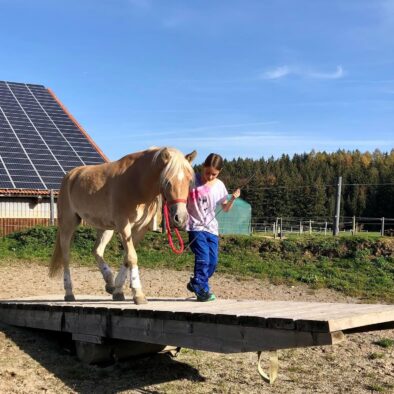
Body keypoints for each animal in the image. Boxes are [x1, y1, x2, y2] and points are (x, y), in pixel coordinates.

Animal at [49, 148, 197, 304]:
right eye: (167, 181)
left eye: (189, 181)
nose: (180, 218)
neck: (137, 184)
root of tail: (70, 176)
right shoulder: (124, 226)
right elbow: (132, 257)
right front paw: (138, 294)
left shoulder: (139, 229)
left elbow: (127, 258)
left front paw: (118, 291)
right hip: (68, 224)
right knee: (66, 256)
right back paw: (69, 293)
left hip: (105, 228)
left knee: (96, 251)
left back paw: (110, 283)